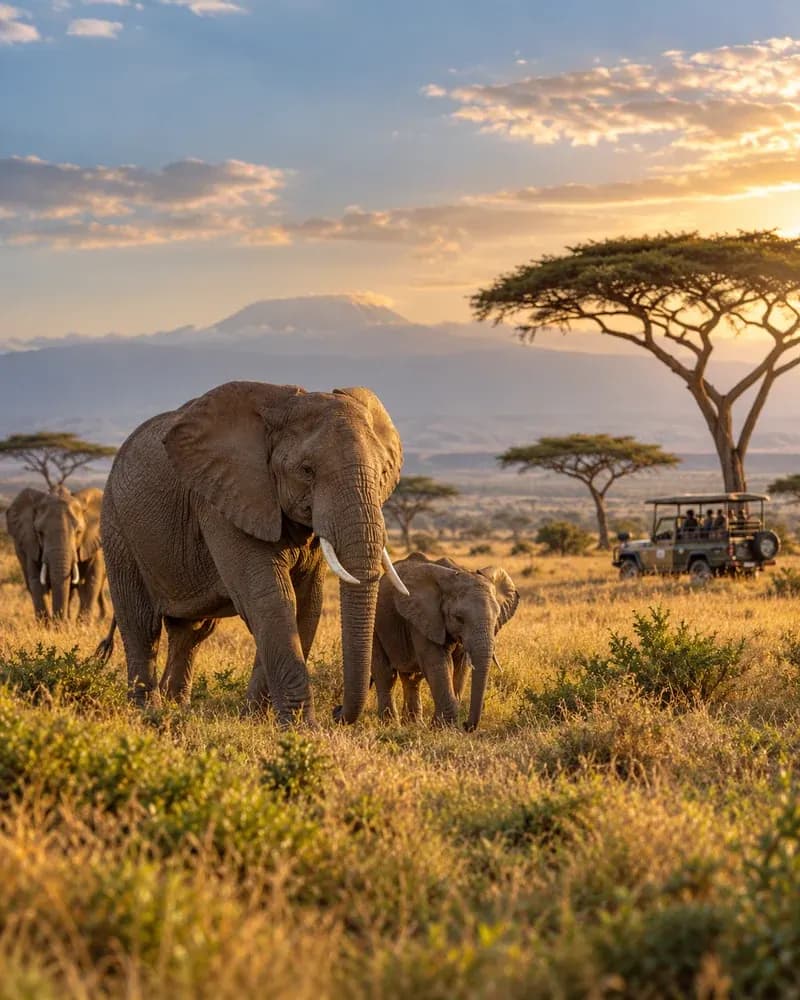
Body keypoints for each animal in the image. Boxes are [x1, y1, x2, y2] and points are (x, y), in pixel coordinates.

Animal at [5, 485, 108, 621]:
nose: (60, 621)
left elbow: (90, 581)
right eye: (39, 533)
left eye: (79, 532)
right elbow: (37, 583)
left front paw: (79, 625)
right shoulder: (31, 544)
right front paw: (48, 626)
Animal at [97, 380, 408, 724]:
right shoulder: (224, 500)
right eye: (307, 470)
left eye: (382, 474)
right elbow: (271, 599)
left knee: (190, 631)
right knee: (141, 623)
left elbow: (305, 604)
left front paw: (254, 718)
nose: (337, 711)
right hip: (117, 524)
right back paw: (147, 712)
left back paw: (177, 706)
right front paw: (302, 727)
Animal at [371, 552, 520, 731]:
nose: (466, 725)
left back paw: (414, 724)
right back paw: (390, 725)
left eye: (497, 617)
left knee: (412, 678)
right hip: (376, 625)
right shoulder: (425, 618)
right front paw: (443, 727)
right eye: (459, 618)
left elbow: (461, 666)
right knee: (386, 675)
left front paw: (441, 725)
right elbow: (438, 663)